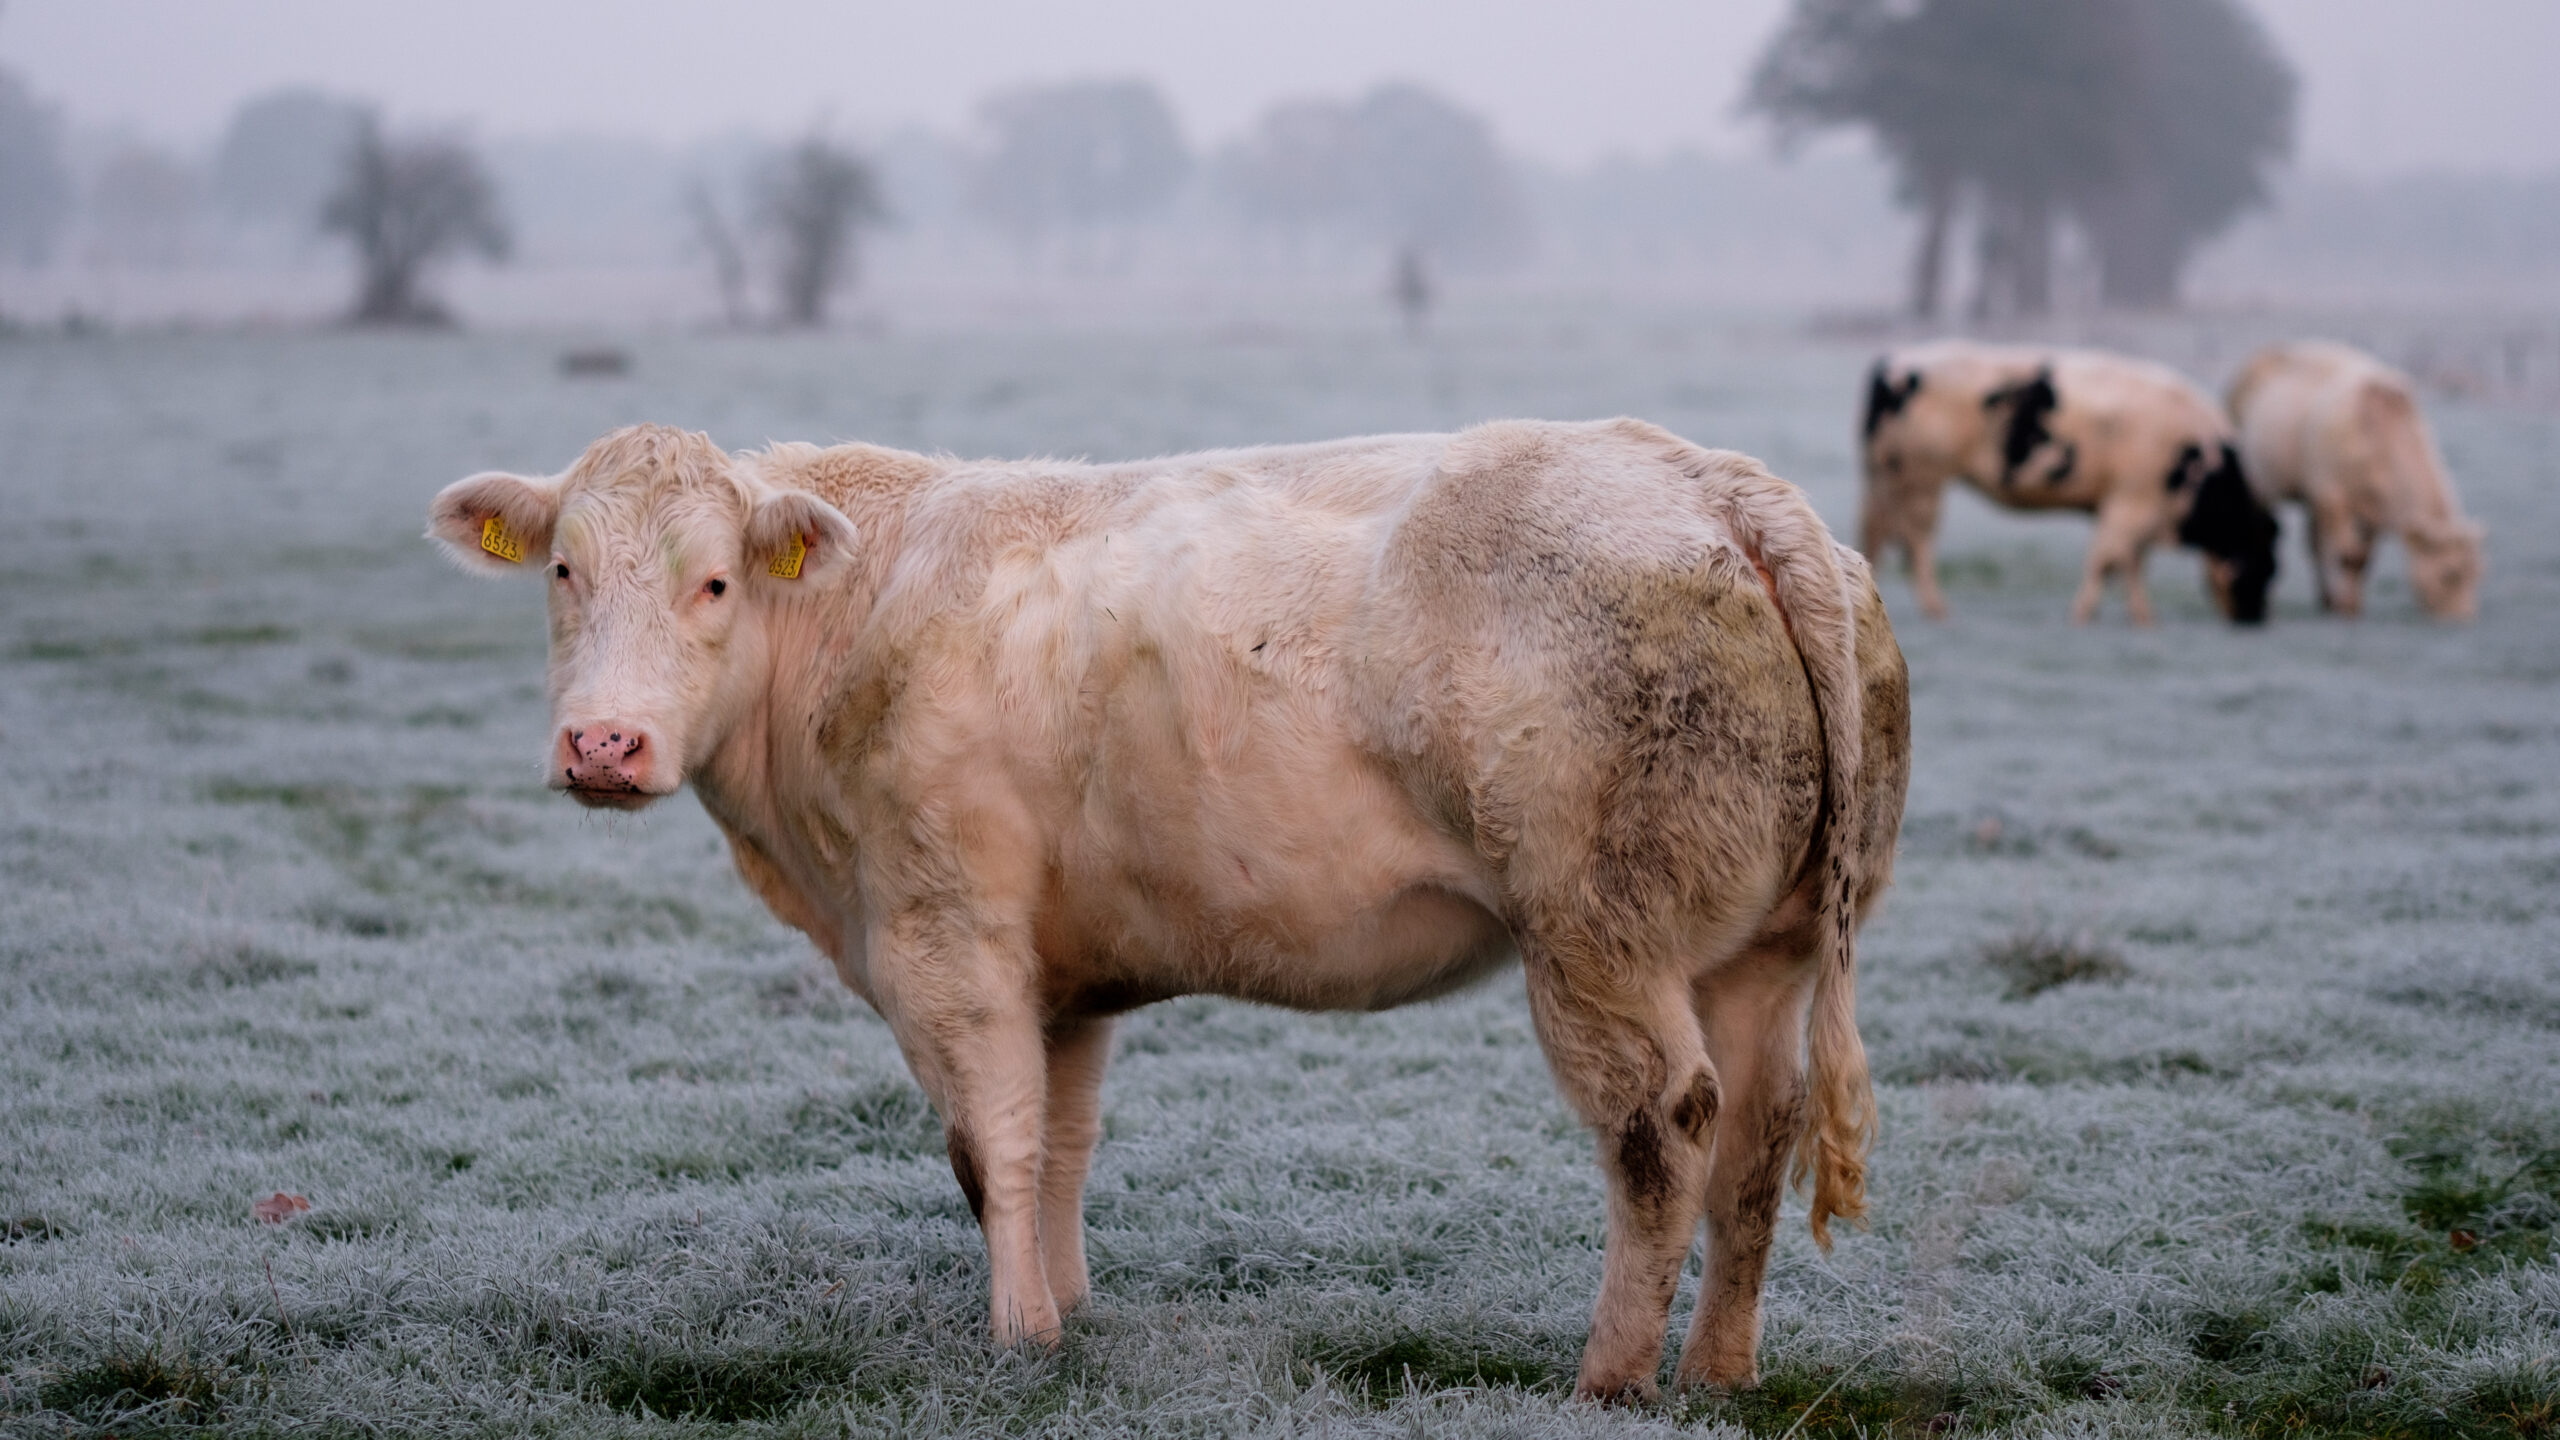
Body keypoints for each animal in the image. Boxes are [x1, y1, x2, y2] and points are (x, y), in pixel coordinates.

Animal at [426, 418, 1912, 1400]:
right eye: (563, 571)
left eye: (716, 580)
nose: (604, 744)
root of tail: (1709, 478)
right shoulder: (1065, 975)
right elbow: (1062, 1145)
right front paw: (1069, 1307)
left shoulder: (943, 932)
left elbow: (991, 1147)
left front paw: (1018, 1340)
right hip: (1761, 951)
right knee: (1760, 1142)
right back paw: (1719, 1372)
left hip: (1600, 939)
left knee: (1666, 1132)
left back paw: (1611, 1377)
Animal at [1859, 341, 2280, 625]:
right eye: (2267, 566)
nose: (2255, 619)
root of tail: (1894, 361)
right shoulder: (2133, 502)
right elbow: (2107, 559)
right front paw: (2083, 613)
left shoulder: (2133, 510)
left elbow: (2130, 563)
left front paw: (2143, 616)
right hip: (1922, 480)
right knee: (1917, 544)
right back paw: (1937, 607)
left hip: (1890, 481)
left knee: (1881, 537)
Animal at [2225, 340, 2485, 621]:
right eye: (2450, 574)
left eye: (2478, 573)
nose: (2462, 618)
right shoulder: (2333, 495)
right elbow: (2346, 555)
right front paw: (2345, 608)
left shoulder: (2372, 512)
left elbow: (2360, 560)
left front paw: (2351, 604)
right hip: (2260, 485)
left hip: (2313, 496)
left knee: (2314, 544)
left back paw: (2325, 598)